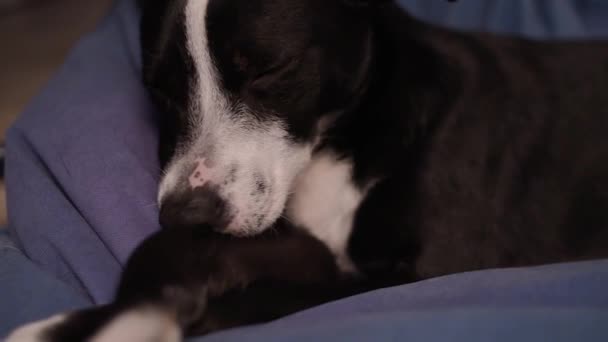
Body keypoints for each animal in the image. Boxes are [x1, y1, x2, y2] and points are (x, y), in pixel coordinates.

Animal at [7, 0, 608, 340]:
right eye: (158, 88)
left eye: (270, 70)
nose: (185, 215)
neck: (342, 143)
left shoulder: (429, 275)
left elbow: (272, 299)